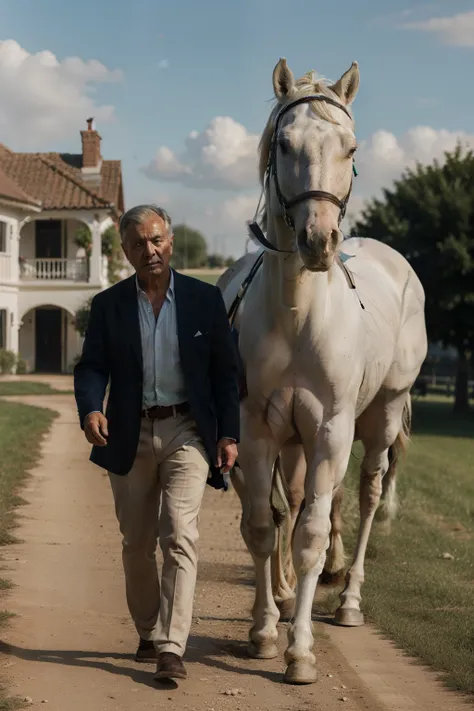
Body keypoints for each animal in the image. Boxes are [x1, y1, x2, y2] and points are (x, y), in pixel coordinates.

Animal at [218, 59, 426, 684]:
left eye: (350, 147)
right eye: (284, 145)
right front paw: (265, 630)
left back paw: (350, 598)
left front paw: (301, 651)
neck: (297, 313)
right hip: (297, 442)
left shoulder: (332, 428)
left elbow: (308, 533)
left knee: (366, 493)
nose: (318, 240)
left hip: (379, 416)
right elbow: (264, 527)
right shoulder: (259, 431)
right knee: (300, 504)